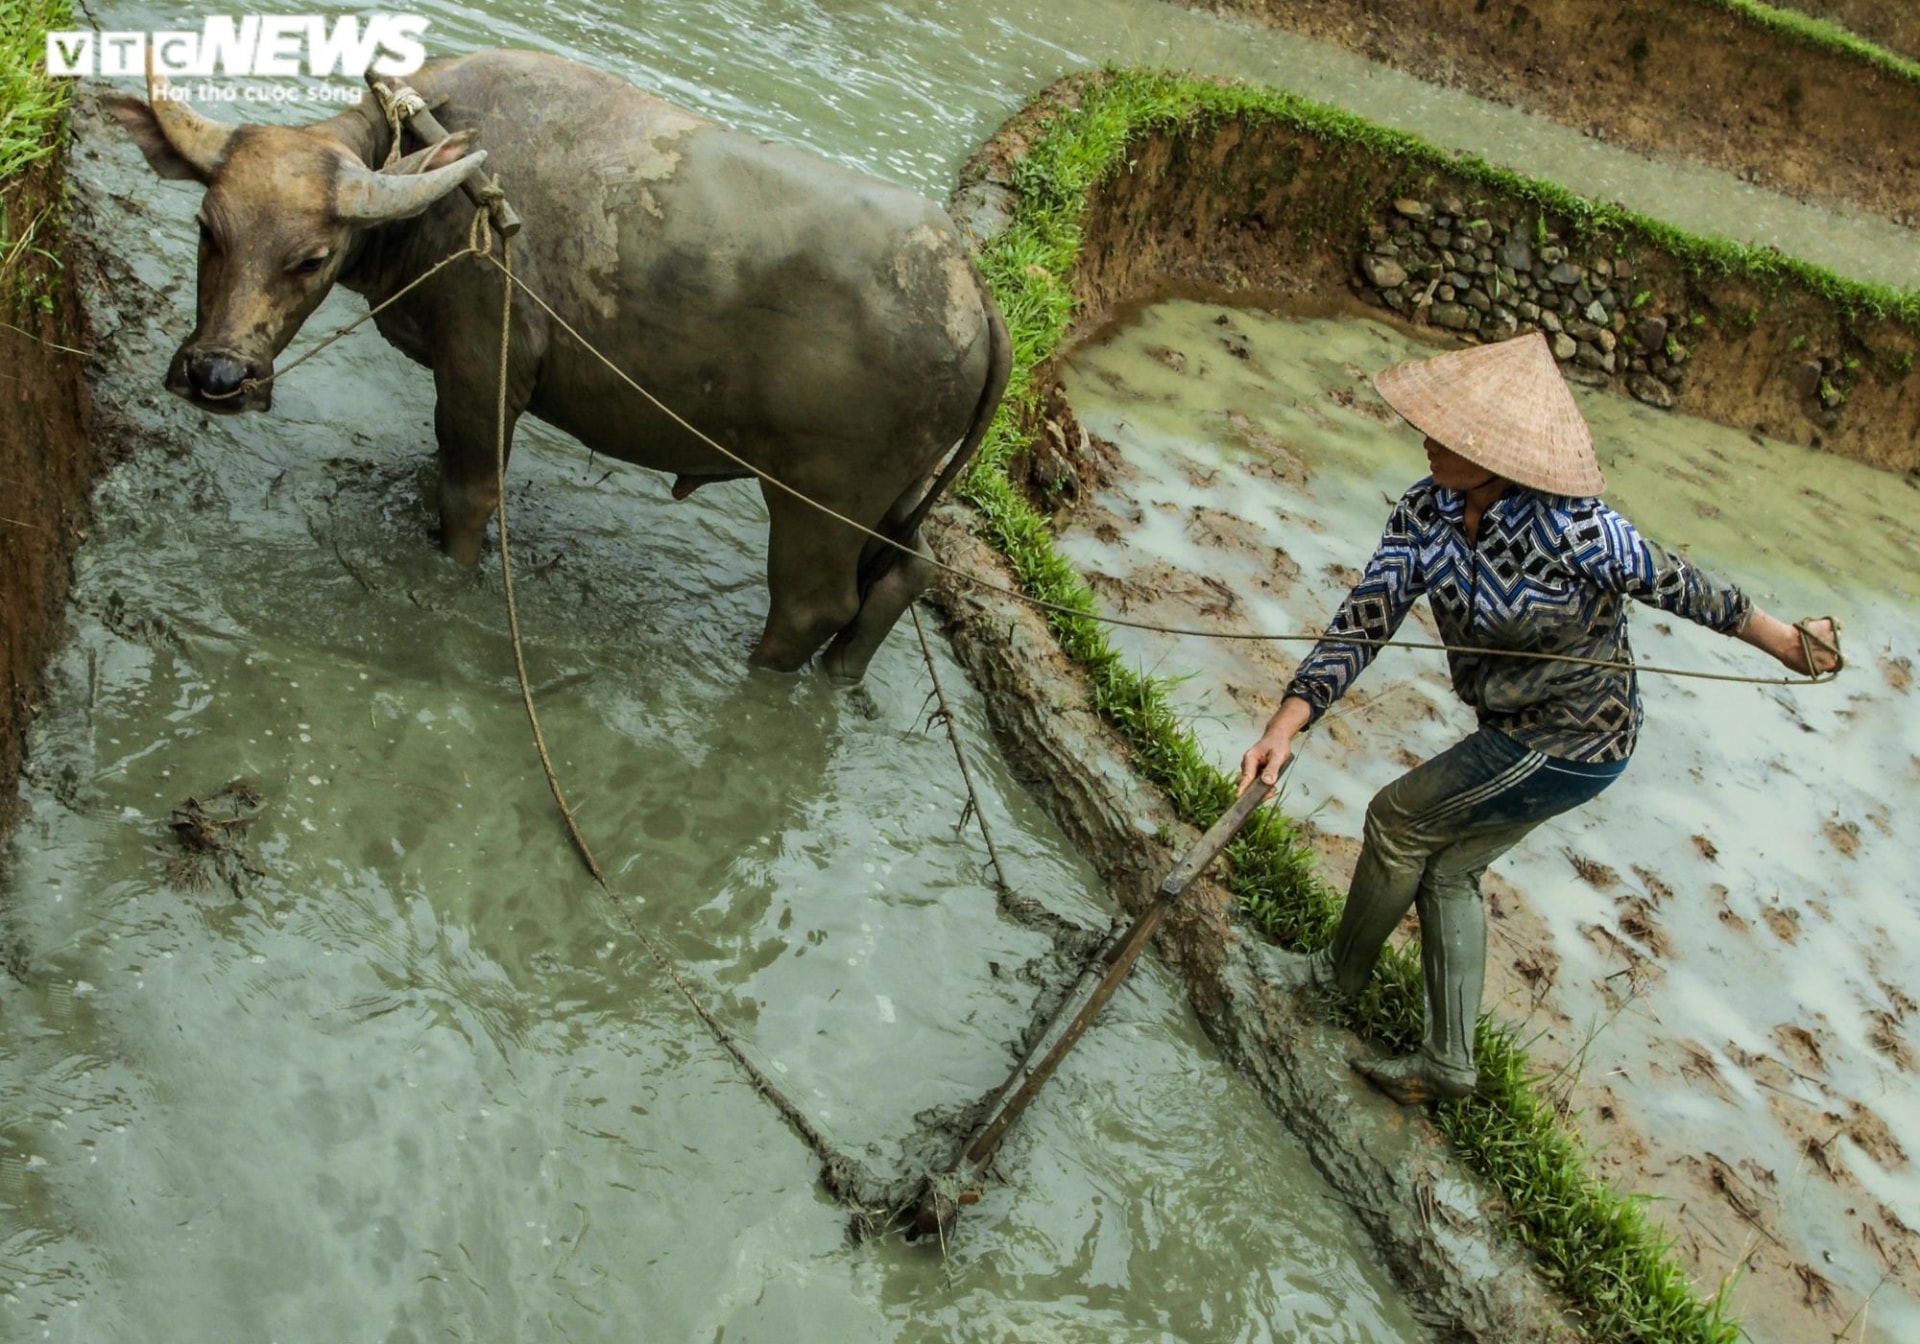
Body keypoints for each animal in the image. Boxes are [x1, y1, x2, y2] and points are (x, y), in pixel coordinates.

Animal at [105, 49, 1013, 683]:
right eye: (208, 227)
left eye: (311, 258)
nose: (217, 377)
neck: (438, 197)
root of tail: (971, 285)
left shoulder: (482, 369)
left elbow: (469, 495)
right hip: (890, 494)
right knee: (904, 576)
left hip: (820, 500)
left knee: (813, 605)